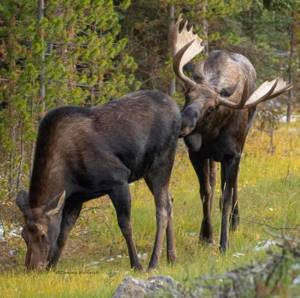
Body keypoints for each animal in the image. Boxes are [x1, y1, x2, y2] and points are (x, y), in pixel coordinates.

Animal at [16, 90, 180, 270]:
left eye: (42, 234)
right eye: (23, 235)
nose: (32, 267)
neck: (67, 178)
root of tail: (176, 108)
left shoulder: (118, 179)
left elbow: (125, 225)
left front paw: (136, 264)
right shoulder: (76, 198)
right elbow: (63, 233)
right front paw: (52, 266)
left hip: (161, 163)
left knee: (162, 209)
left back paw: (153, 262)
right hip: (147, 171)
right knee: (170, 200)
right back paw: (171, 257)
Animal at [170, 16, 292, 253]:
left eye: (211, 108)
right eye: (187, 94)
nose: (183, 125)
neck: (212, 134)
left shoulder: (232, 154)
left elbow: (227, 197)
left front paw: (223, 243)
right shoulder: (196, 153)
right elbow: (205, 191)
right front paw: (205, 235)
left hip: (241, 144)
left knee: (233, 183)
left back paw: (236, 221)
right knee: (215, 181)